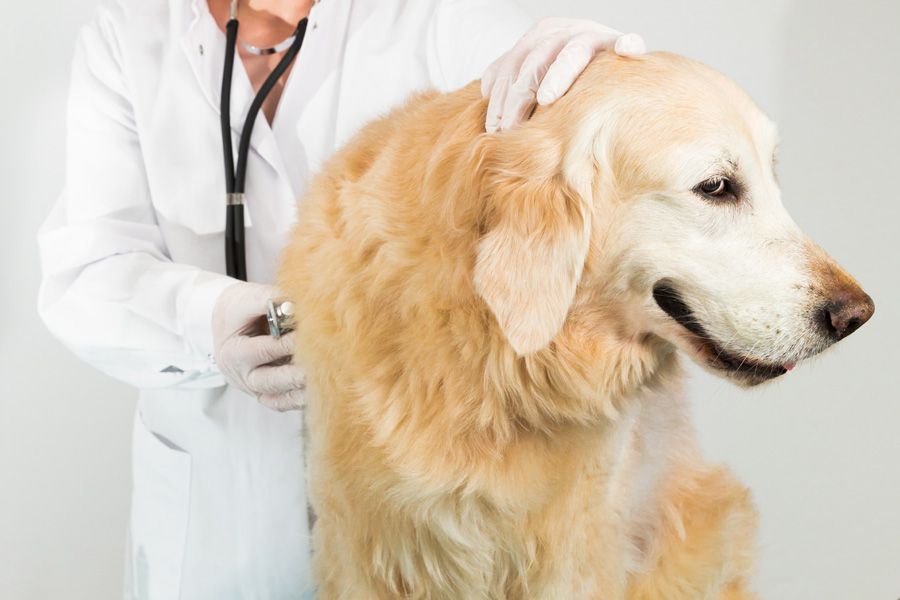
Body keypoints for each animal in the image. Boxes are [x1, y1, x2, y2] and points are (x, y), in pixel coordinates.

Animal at [280, 52, 872, 600]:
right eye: (717, 186)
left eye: (773, 179)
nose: (857, 315)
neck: (492, 367)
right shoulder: (357, 542)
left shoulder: (575, 547)